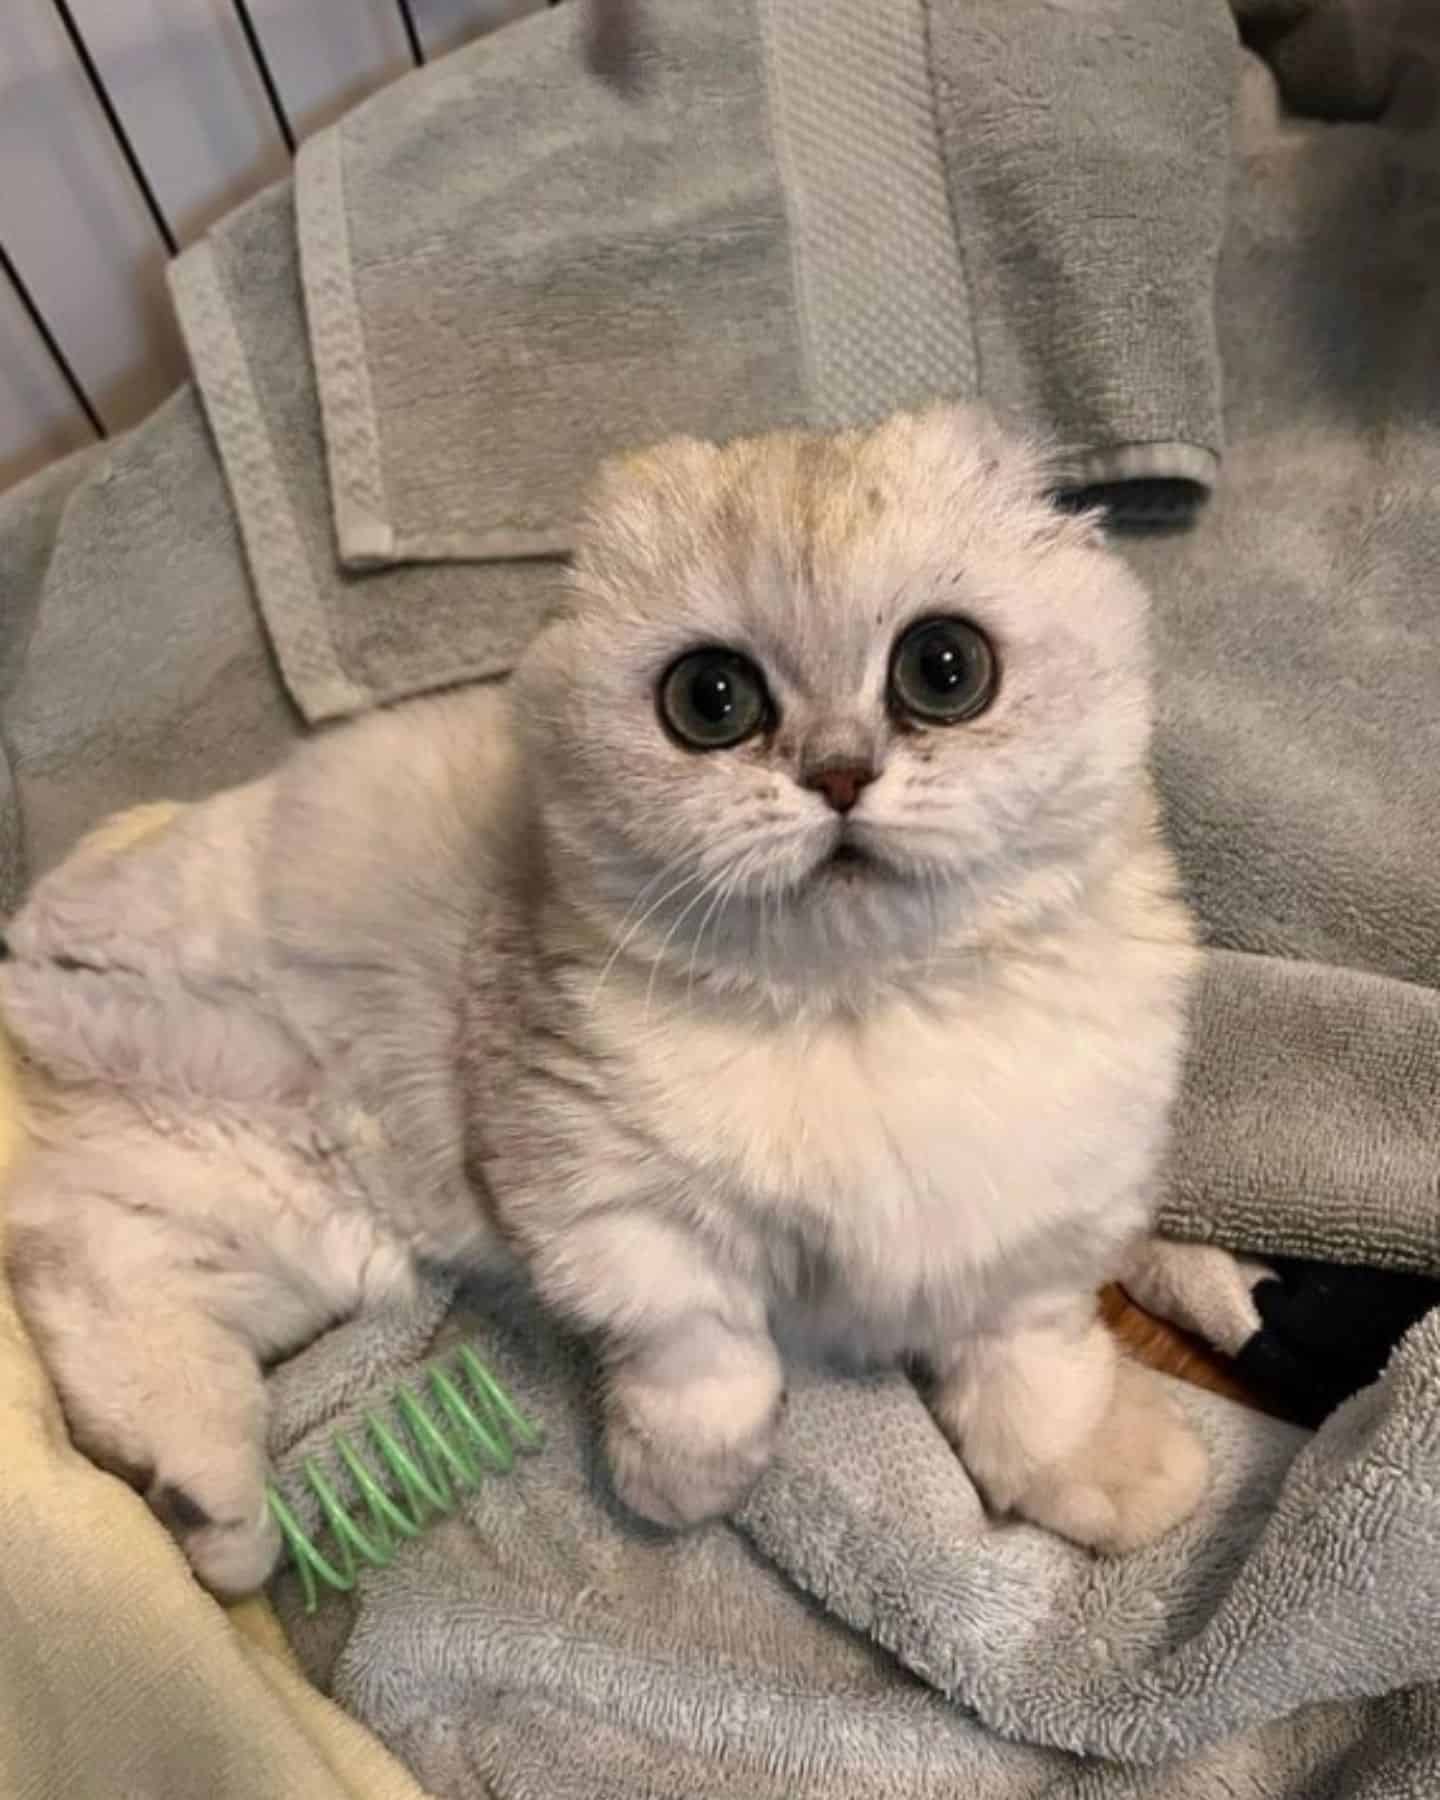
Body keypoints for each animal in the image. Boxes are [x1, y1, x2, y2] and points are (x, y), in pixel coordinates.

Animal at [2, 405, 1202, 1591]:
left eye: (945, 670)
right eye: (711, 700)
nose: (838, 775)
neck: (852, 1013)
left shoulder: (1029, 1236)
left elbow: (1035, 1381)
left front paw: (1110, 1479)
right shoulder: (603, 1199)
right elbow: (702, 1352)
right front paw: (685, 1481)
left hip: (277, 1231)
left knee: (92, 1273)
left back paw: (205, 1509)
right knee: (76, 1276)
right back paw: (217, 1518)